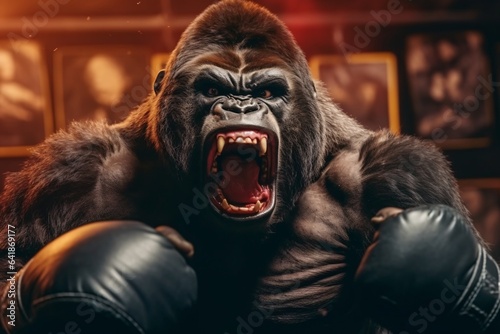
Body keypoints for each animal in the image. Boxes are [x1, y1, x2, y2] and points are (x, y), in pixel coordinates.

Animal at [0, 0, 500, 334]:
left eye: (268, 92)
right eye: (209, 88)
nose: (241, 104)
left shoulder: (401, 172)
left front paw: (432, 257)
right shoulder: (74, 173)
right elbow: (14, 269)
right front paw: (100, 272)